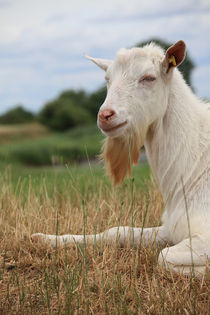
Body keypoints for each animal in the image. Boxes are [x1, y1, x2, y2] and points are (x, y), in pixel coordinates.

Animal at [31, 40, 210, 278]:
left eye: (149, 78)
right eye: (107, 79)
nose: (105, 115)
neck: (195, 165)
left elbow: (164, 256)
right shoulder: (171, 229)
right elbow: (118, 231)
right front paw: (45, 239)